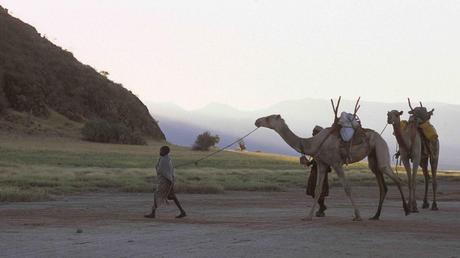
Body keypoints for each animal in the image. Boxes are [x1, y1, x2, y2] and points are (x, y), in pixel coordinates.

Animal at [255, 114, 410, 221]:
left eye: (268, 118)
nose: (257, 121)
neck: (313, 142)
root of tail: (380, 137)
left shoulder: (336, 163)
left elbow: (347, 188)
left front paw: (358, 216)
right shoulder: (322, 164)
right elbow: (317, 190)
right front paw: (308, 216)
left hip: (380, 146)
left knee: (395, 178)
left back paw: (407, 209)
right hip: (373, 157)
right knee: (382, 184)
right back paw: (376, 216)